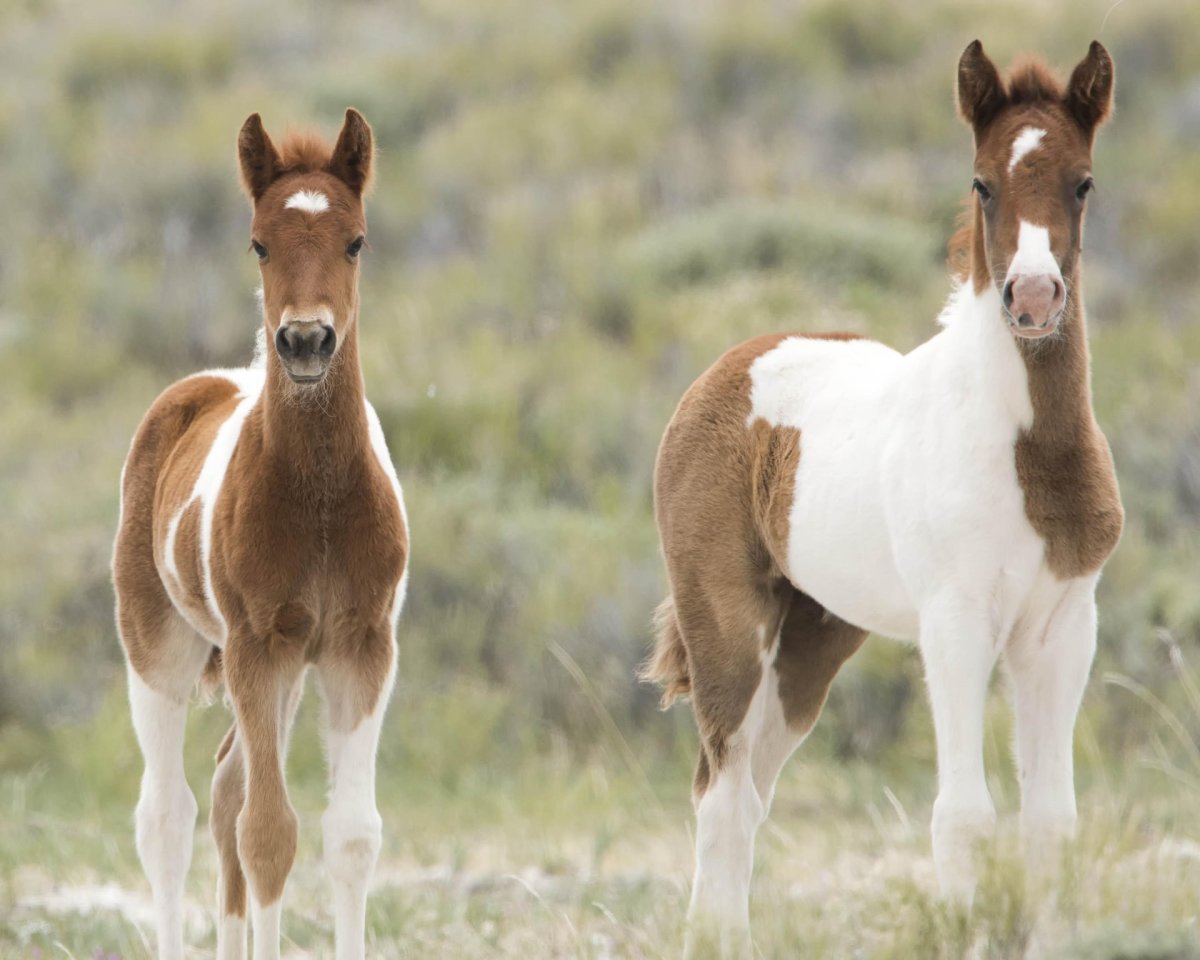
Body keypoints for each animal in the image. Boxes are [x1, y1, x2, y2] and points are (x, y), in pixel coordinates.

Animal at [112, 108, 409, 960]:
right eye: (259, 244)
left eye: (356, 241)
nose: (305, 342)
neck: (319, 504)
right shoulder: (254, 645)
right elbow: (270, 834)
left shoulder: (361, 649)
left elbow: (350, 836)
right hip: (160, 650)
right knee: (169, 816)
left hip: (284, 674)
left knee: (224, 790)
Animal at [643, 40, 1122, 955]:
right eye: (981, 183)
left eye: (1083, 182)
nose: (1033, 298)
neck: (1025, 458)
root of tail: (723, 368)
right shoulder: (955, 623)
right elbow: (963, 817)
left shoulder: (1062, 629)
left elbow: (1054, 822)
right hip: (727, 623)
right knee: (719, 798)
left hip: (814, 638)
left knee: (747, 799)